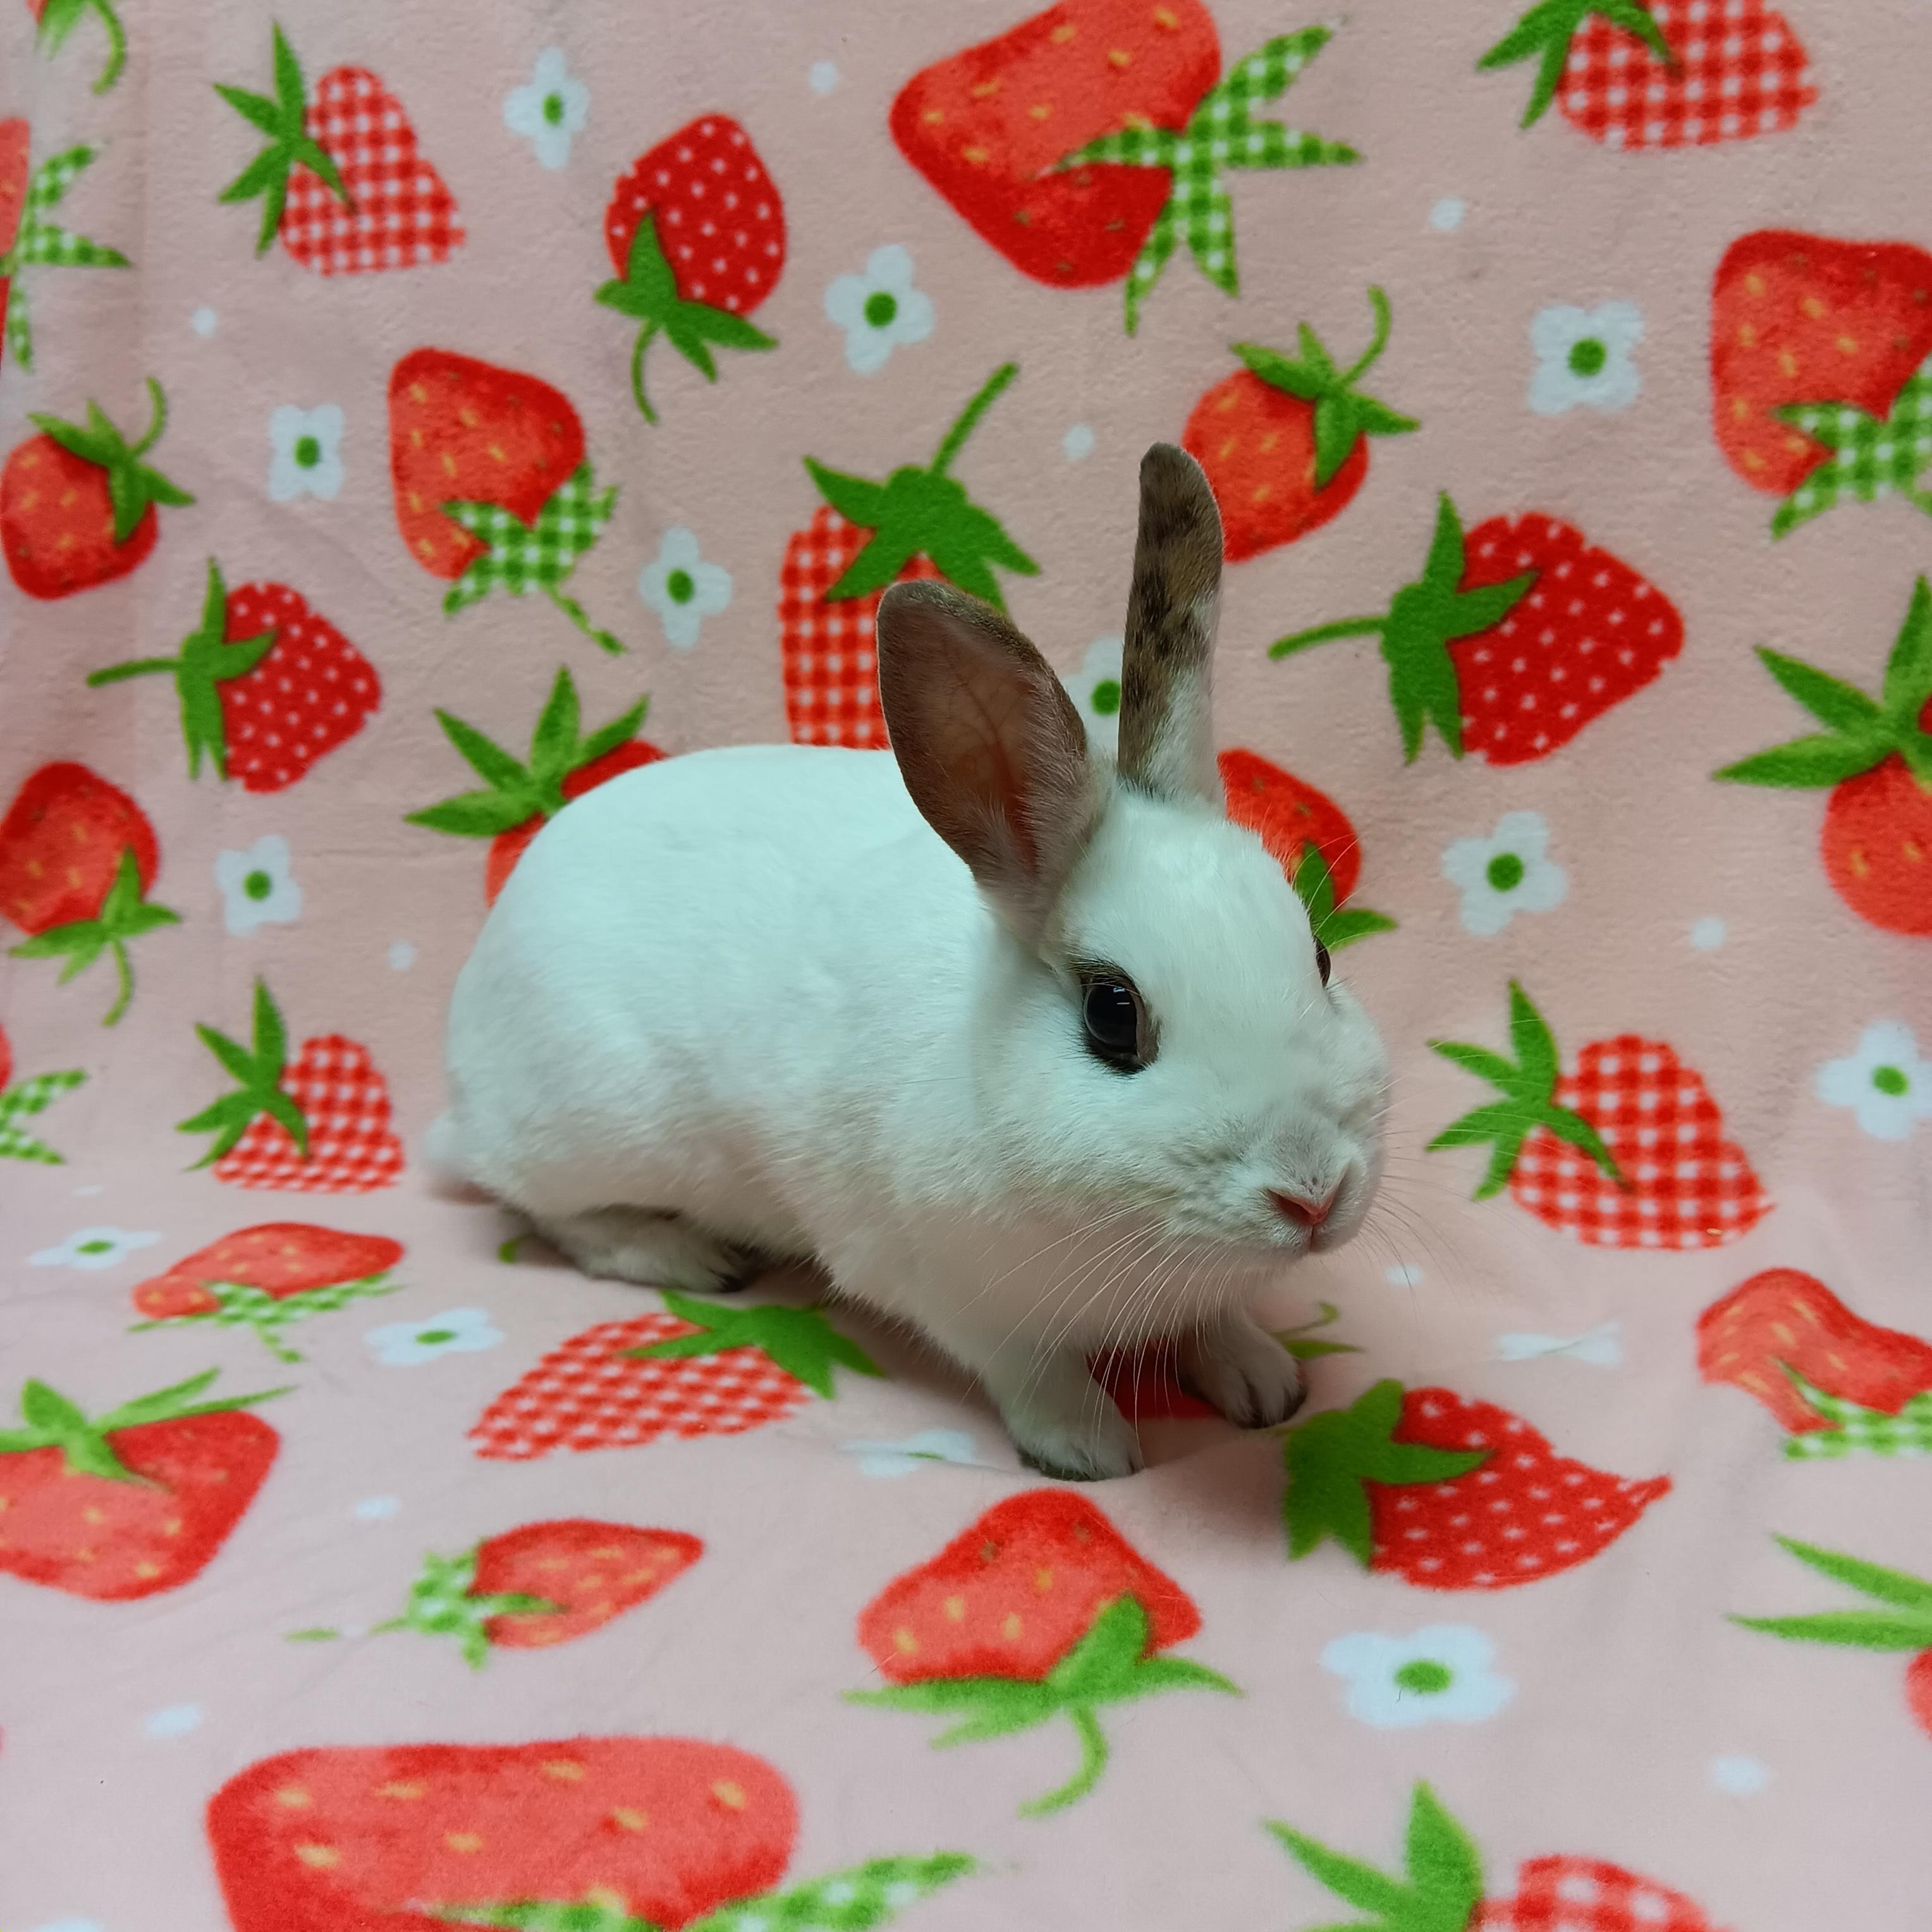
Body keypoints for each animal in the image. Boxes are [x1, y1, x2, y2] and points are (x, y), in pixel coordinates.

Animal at [435, 443, 1390, 1480]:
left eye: (1322, 959)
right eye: (1111, 1012)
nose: (1313, 1192)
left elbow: (1214, 1323)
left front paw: (1265, 1383)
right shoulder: (948, 1292)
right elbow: (1030, 1373)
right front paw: (1091, 1448)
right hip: (589, 1130)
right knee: (542, 1205)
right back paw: (683, 1255)